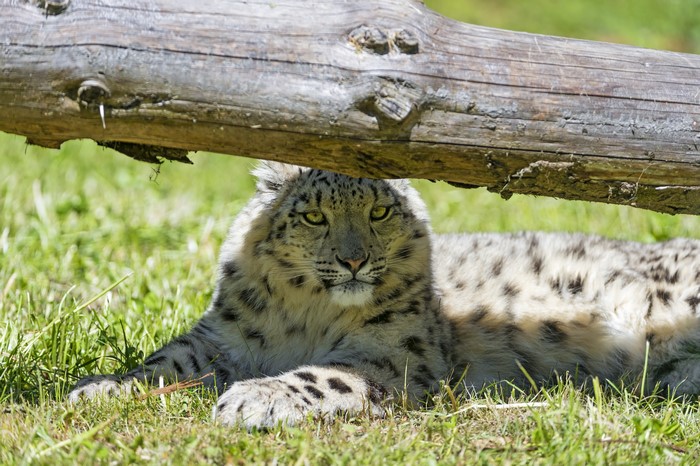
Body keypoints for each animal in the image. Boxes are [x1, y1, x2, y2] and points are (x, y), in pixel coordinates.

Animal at [68, 161, 700, 429]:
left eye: (378, 212)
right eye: (314, 215)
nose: (354, 259)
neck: (308, 314)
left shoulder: (393, 356)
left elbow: (322, 376)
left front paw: (252, 399)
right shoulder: (221, 337)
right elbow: (168, 361)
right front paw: (99, 390)